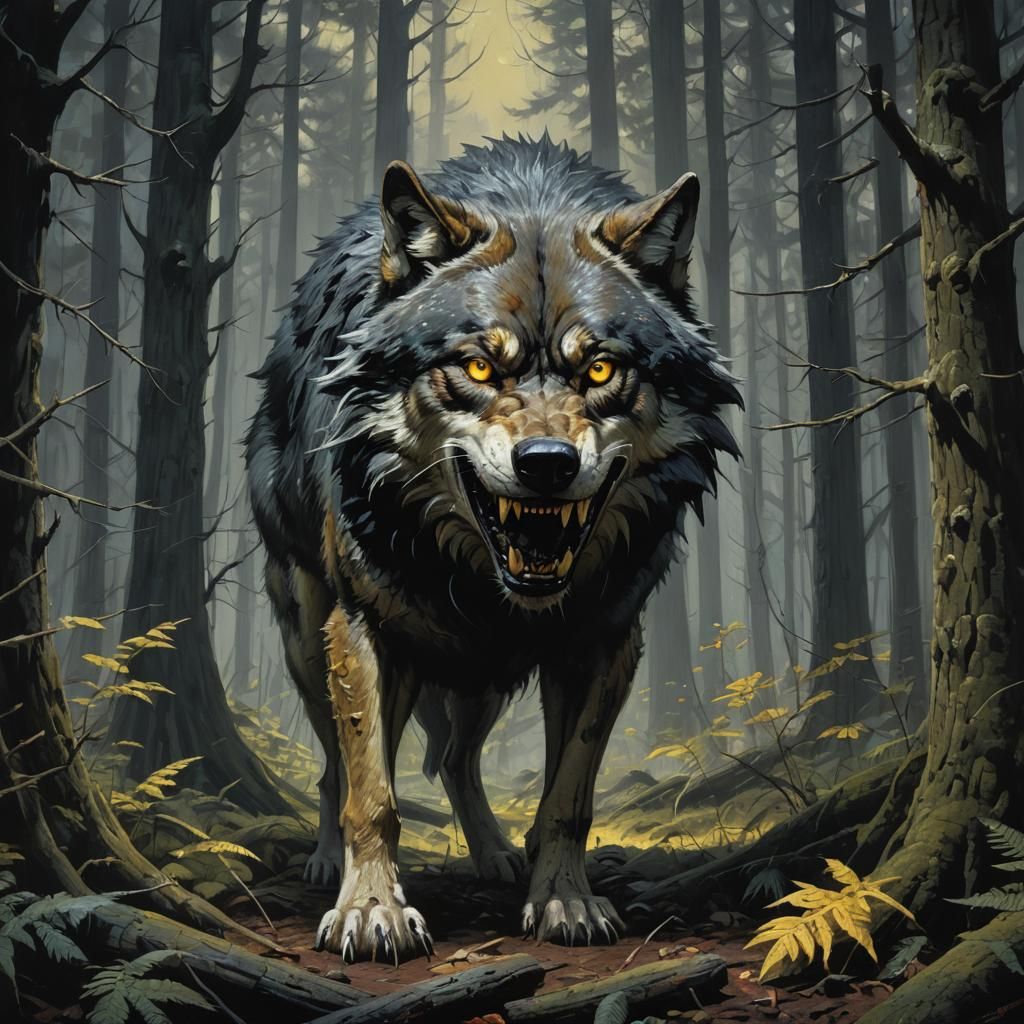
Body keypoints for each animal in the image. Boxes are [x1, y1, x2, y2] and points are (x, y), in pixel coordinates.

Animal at [245, 135, 740, 962]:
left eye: (599, 369)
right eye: (479, 366)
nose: (546, 463)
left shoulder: (608, 642)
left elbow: (568, 794)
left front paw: (563, 899)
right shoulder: (364, 628)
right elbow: (371, 793)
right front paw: (371, 911)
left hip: (477, 678)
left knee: (451, 759)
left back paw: (498, 855)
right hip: (312, 645)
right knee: (334, 769)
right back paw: (327, 861)